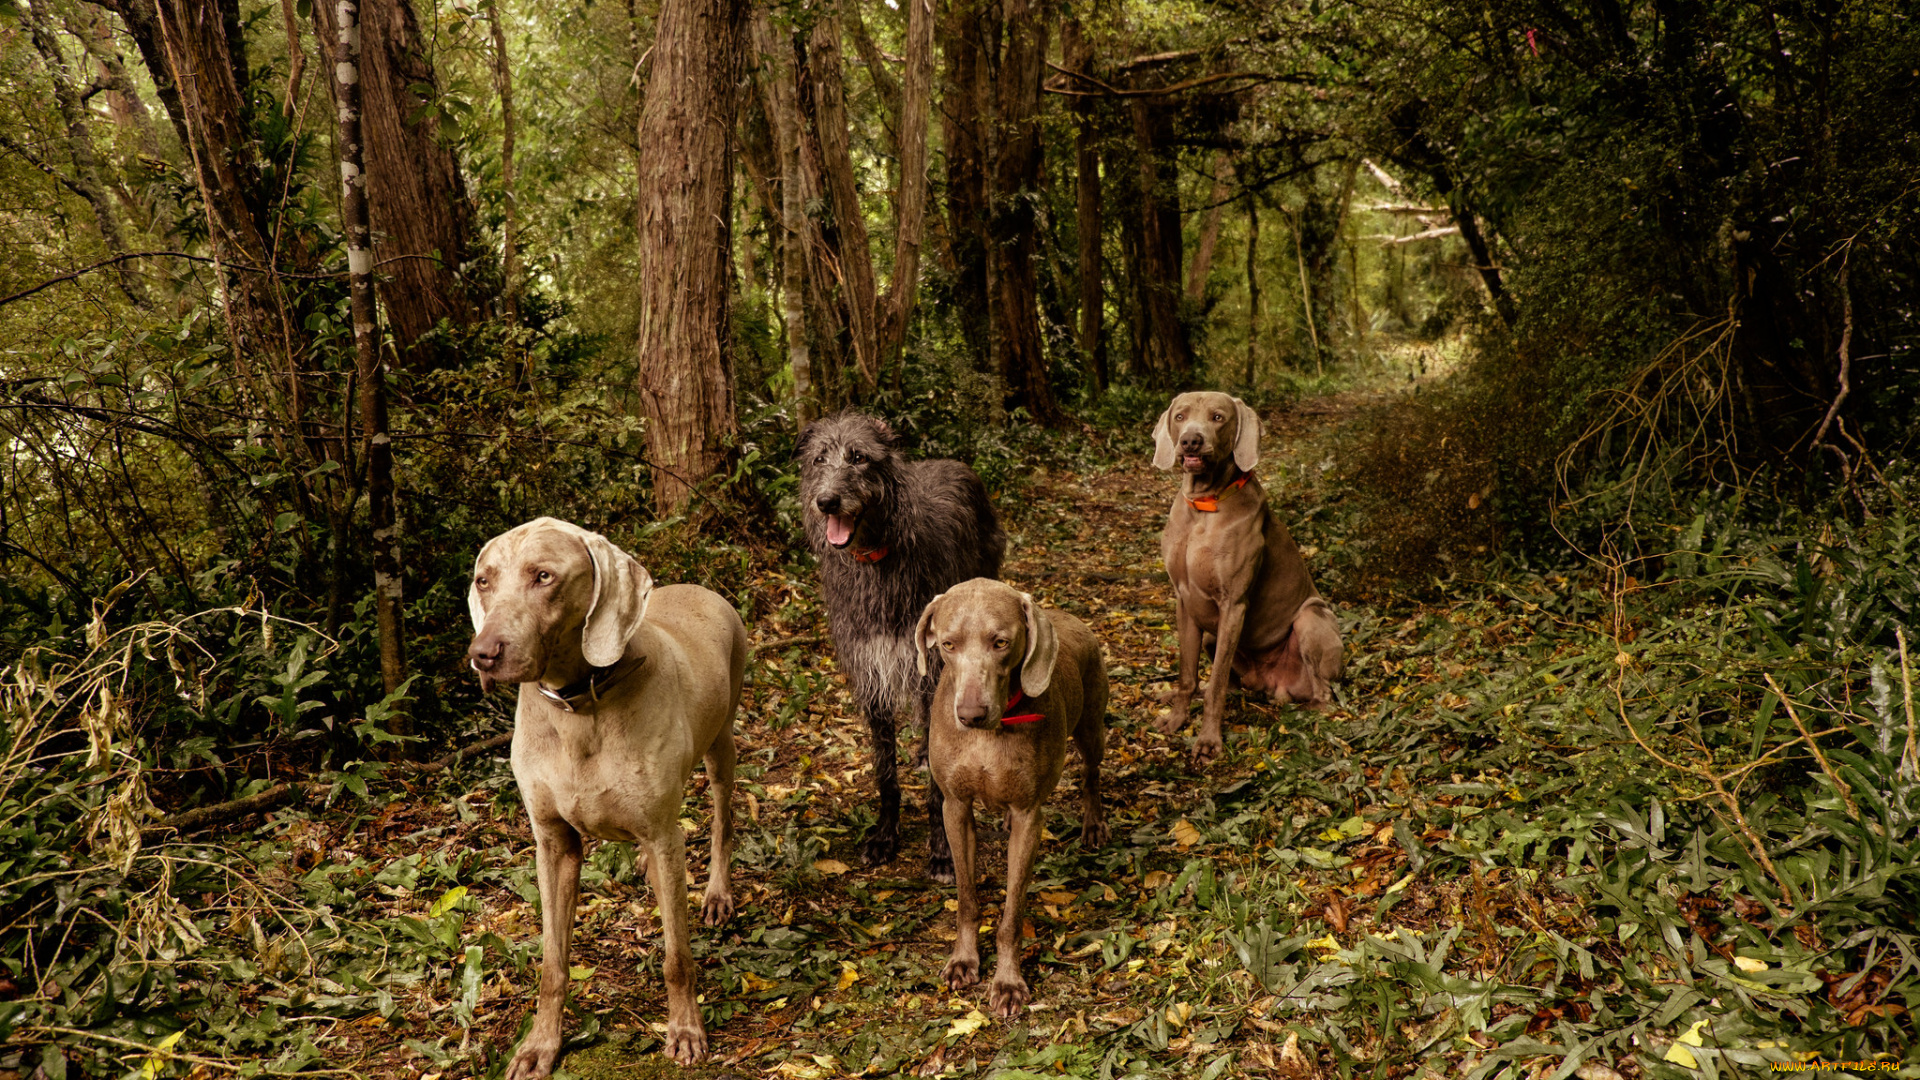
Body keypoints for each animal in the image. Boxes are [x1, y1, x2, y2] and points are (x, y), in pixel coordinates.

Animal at [460, 515, 744, 1068]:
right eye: (484, 580)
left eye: (544, 576)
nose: (482, 654)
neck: (579, 707)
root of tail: (701, 587)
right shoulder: (553, 843)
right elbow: (552, 963)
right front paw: (540, 1045)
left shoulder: (663, 832)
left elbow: (677, 957)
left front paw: (685, 1029)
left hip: (722, 742)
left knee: (722, 817)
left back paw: (716, 892)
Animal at [794, 409, 1006, 876]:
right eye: (819, 459)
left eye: (858, 457)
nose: (827, 502)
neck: (877, 559)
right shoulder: (872, 670)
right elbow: (884, 771)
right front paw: (885, 836)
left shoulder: (930, 666)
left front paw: (942, 850)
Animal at [913, 576, 1113, 1014]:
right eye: (948, 644)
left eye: (1000, 642)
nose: (970, 715)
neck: (994, 732)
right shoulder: (955, 808)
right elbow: (967, 899)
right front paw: (963, 961)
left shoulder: (1029, 817)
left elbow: (1012, 911)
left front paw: (1007, 982)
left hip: (1091, 727)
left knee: (1091, 774)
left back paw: (1094, 825)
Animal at [1144, 388, 1344, 757]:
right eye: (1180, 416)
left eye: (1218, 417)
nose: (1191, 441)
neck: (1204, 507)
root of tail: (1271, 686)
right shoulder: (1184, 601)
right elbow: (1187, 675)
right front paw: (1177, 719)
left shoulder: (1233, 605)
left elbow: (1217, 684)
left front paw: (1208, 740)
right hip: (1212, 635)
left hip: (1311, 618)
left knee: (1325, 694)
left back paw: (1307, 709)